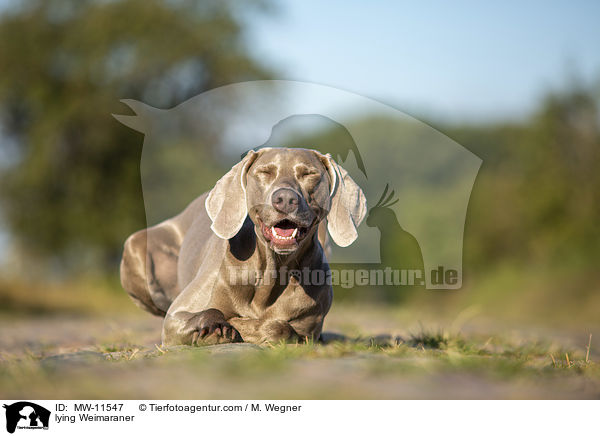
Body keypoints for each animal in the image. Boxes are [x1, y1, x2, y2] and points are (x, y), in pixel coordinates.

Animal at [120, 148, 368, 346]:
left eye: (309, 174)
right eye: (265, 172)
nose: (285, 199)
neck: (272, 270)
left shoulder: (308, 329)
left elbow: (280, 327)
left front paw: (242, 326)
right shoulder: (173, 318)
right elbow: (206, 312)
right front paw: (218, 327)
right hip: (136, 245)